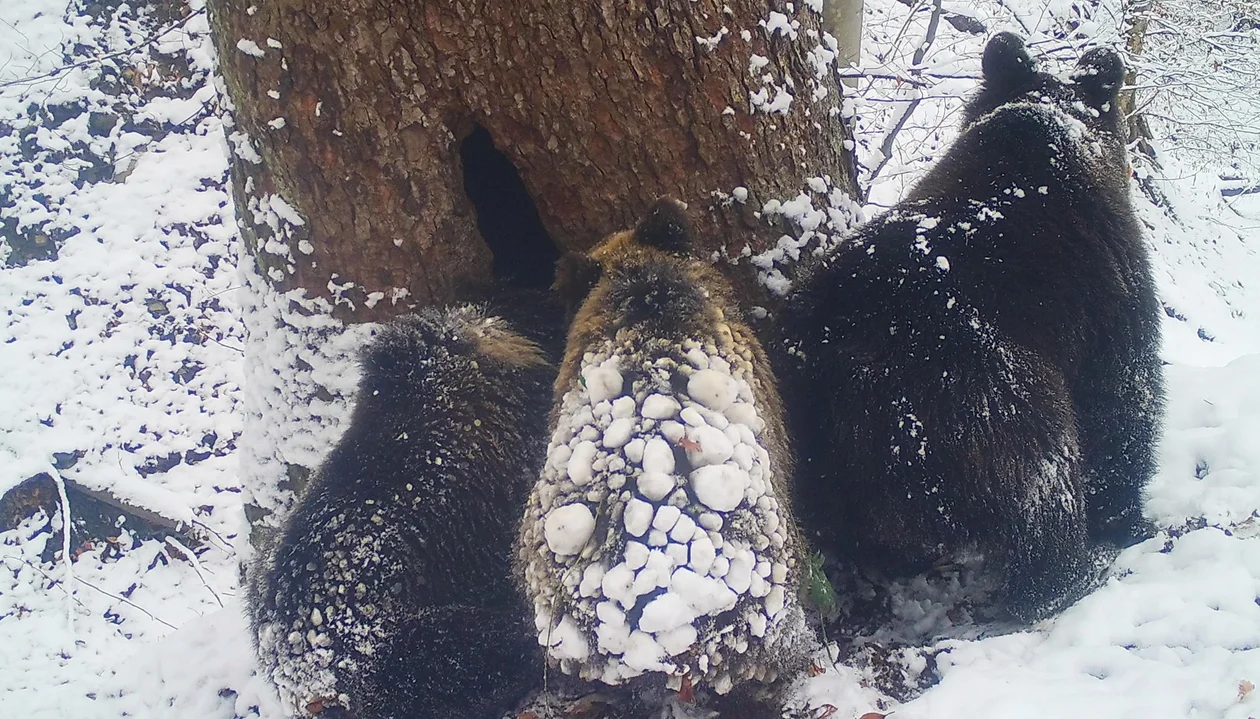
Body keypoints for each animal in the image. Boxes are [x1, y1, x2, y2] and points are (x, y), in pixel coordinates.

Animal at [781, 31, 1164, 622]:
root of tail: (848, 361)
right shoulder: (1109, 303)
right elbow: (1122, 407)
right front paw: (1127, 520)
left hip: (817, 441)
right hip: (980, 389)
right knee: (1041, 475)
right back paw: (1069, 576)